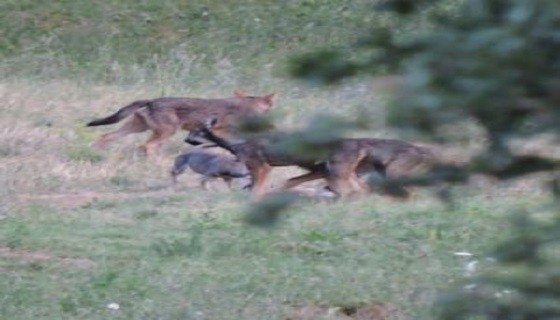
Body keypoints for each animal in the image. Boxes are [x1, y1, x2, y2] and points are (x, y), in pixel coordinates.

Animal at [86, 90, 276, 156]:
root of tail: (151, 100)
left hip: (137, 129)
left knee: (106, 135)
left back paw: (94, 153)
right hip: (167, 132)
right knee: (147, 146)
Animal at [186, 117, 436, 198]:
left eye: (197, 131)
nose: (186, 141)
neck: (236, 140)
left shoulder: (262, 166)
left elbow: (257, 191)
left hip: (343, 172)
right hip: (341, 172)